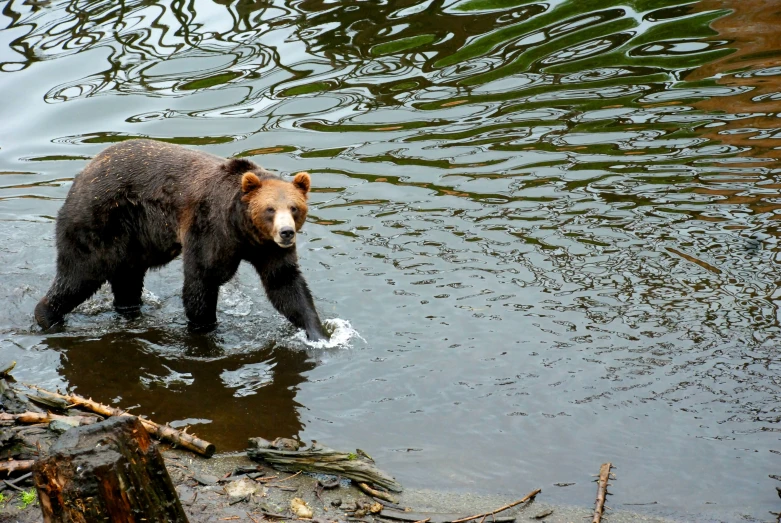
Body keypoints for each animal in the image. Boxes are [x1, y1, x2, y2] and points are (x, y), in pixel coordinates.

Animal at [32, 139, 326, 342]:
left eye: (294, 208)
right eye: (270, 209)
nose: (286, 232)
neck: (242, 229)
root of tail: (85, 171)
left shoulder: (267, 248)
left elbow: (285, 284)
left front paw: (319, 333)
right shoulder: (210, 228)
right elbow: (202, 281)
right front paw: (205, 329)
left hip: (135, 238)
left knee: (127, 279)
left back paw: (129, 310)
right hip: (99, 219)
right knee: (80, 273)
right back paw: (48, 316)